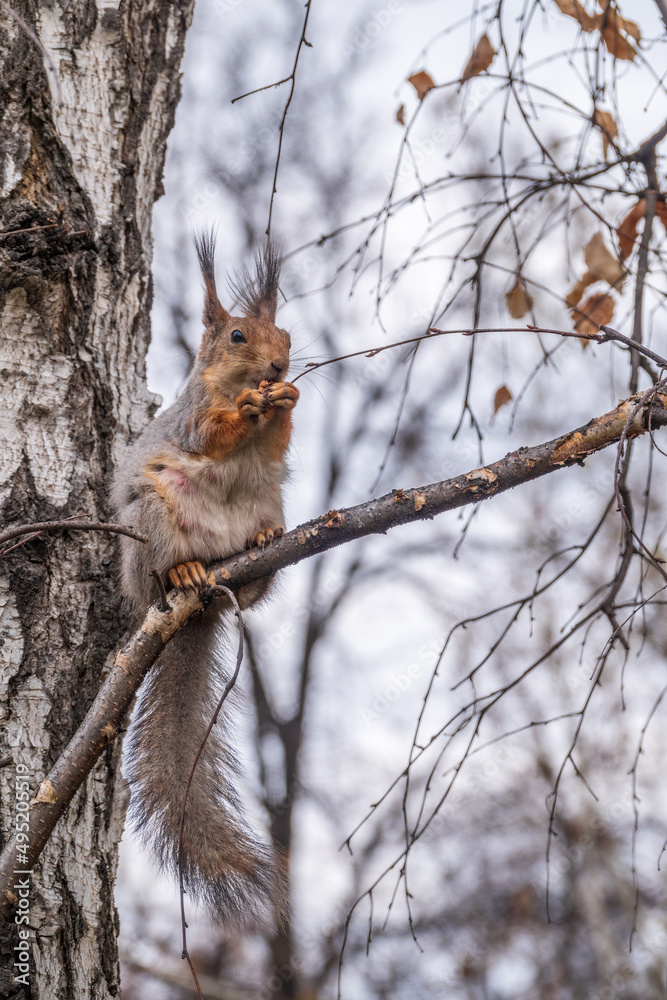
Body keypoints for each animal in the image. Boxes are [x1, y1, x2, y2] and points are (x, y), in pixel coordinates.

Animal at [111, 232, 299, 927]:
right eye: (238, 336)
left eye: (287, 335)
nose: (279, 369)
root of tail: (207, 601)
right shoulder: (193, 418)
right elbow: (213, 433)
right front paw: (246, 408)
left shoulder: (273, 451)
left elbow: (275, 443)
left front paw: (288, 402)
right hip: (153, 521)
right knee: (163, 570)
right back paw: (184, 569)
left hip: (272, 507)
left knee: (255, 578)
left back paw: (260, 549)